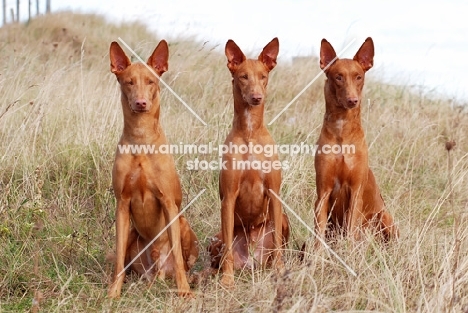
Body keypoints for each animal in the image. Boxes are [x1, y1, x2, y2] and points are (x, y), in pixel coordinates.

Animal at [107, 40, 197, 296]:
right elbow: (119, 259)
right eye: (129, 82)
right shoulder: (122, 204)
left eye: (151, 81)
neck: (141, 139)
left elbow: (178, 256)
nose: (141, 103)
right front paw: (113, 292)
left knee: (183, 260)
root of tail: (156, 271)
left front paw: (184, 291)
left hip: (182, 222)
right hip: (131, 235)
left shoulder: (168, 202)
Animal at [208, 37, 288, 286]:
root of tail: (252, 261)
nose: (256, 97)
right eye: (243, 76)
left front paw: (281, 272)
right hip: (216, 238)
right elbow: (227, 252)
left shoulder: (274, 194)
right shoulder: (228, 198)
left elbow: (279, 247)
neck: (250, 133)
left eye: (263, 76)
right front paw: (227, 280)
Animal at [314, 37, 398, 243]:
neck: (341, 131)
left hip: (385, 217)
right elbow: (318, 237)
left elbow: (351, 232)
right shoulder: (322, 194)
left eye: (358, 76)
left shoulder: (355, 192)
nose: (353, 100)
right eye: (338, 77)